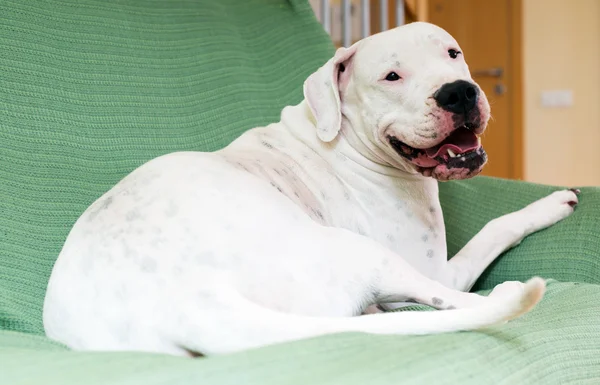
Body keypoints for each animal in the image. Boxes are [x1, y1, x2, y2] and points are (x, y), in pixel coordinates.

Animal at [42, 22, 576, 356]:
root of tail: (186, 305)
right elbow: (494, 228)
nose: (459, 91)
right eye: (391, 76)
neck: (343, 137)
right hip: (363, 254)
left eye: (453, 53)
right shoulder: (438, 268)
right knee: (458, 303)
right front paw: (553, 202)